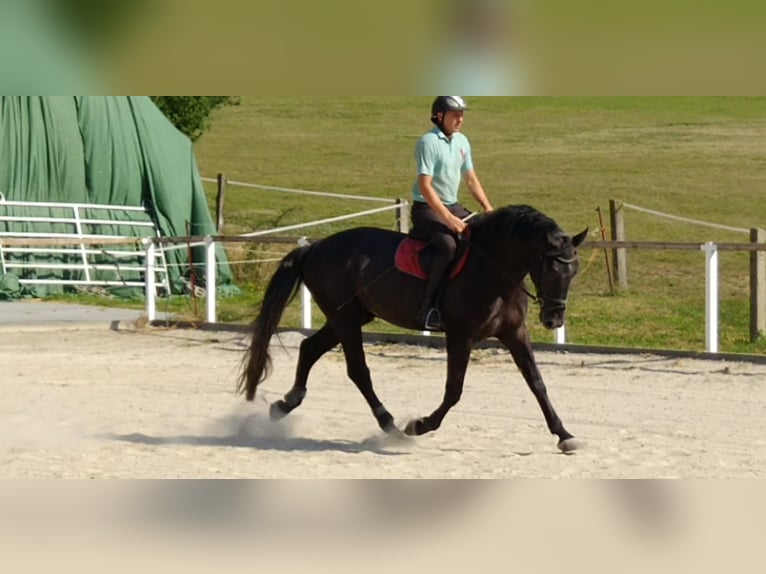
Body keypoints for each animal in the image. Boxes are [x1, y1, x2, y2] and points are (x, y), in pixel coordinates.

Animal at [238, 205, 588, 452]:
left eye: (574, 271)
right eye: (550, 267)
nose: (554, 320)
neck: (492, 270)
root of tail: (316, 247)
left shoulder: (514, 334)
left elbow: (537, 383)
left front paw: (564, 434)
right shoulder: (461, 337)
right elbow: (454, 390)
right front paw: (419, 425)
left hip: (350, 317)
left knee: (310, 348)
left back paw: (285, 405)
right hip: (346, 319)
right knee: (358, 370)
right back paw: (392, 426)